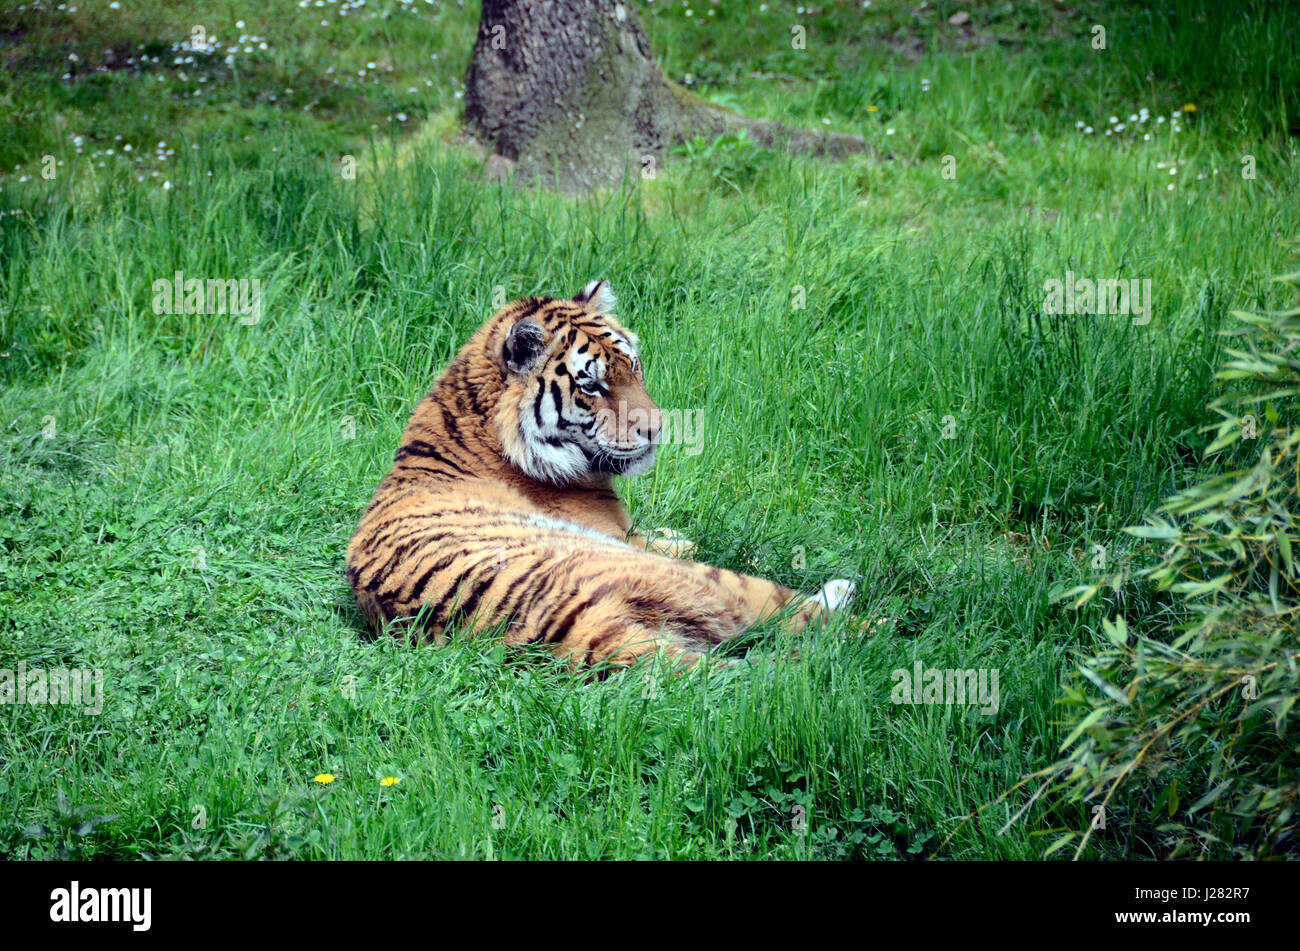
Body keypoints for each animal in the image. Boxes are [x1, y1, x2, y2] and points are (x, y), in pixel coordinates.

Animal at [340, 281, 857, 670]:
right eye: (591, 384)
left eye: (633, 364)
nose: (658, 429)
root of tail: (570, 630)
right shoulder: (624, 537)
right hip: (692, 580)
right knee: (812, 617)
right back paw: (852, 599)